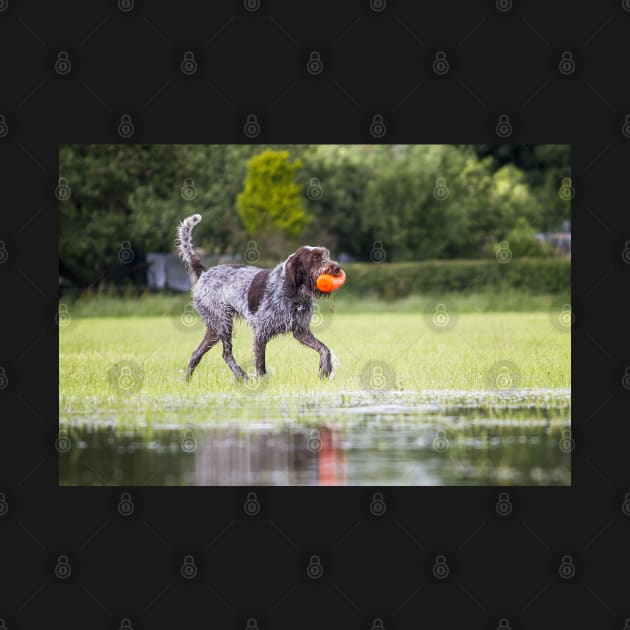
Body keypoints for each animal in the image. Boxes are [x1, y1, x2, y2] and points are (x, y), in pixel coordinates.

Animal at [178, 215, 346, 380]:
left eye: (327, 255)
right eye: (316, 258)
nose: (337, 268)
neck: (294, 295)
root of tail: (205, 272)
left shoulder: (301, 331)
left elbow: (324, 349)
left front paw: (326, 369)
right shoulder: (261, 333)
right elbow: (260, 366)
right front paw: (261, 382)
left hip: (214, 329)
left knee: (196, 354)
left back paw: (187, 380)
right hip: (223, 322)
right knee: (226, 354)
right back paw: (241, 376)